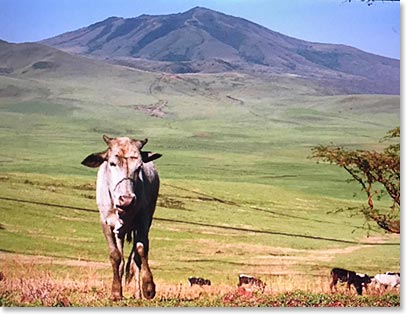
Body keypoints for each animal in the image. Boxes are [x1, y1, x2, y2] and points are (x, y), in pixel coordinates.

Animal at [81, 136, 161, 302]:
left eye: (139, 167)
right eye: (112, 163)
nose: (127, 200)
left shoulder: (143, 221)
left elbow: (141, 250)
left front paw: (148, 287)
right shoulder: (106, 223)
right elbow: (115, 255)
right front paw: (116, 292)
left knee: (136, 259)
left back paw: (138, 293)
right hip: (120, 231)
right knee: (123, 258)